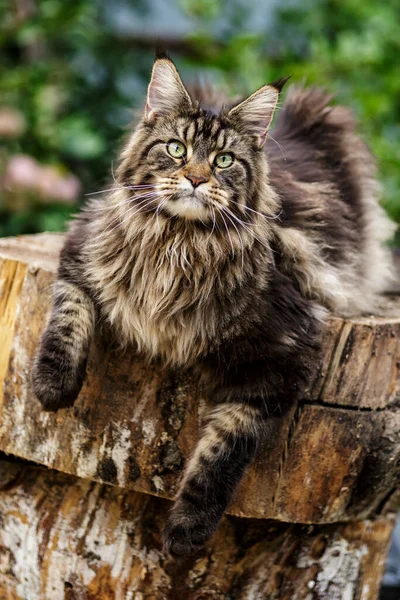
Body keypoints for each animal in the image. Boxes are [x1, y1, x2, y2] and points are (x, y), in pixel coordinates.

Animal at [31, 54, 394, 556]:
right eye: (176, 150)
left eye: (223, 160)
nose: (196, 179)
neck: (177, 246)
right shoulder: (81, 250)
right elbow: (67, 317)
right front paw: (53, 387)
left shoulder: (283, 361)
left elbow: (220, 456)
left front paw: (186, 536)